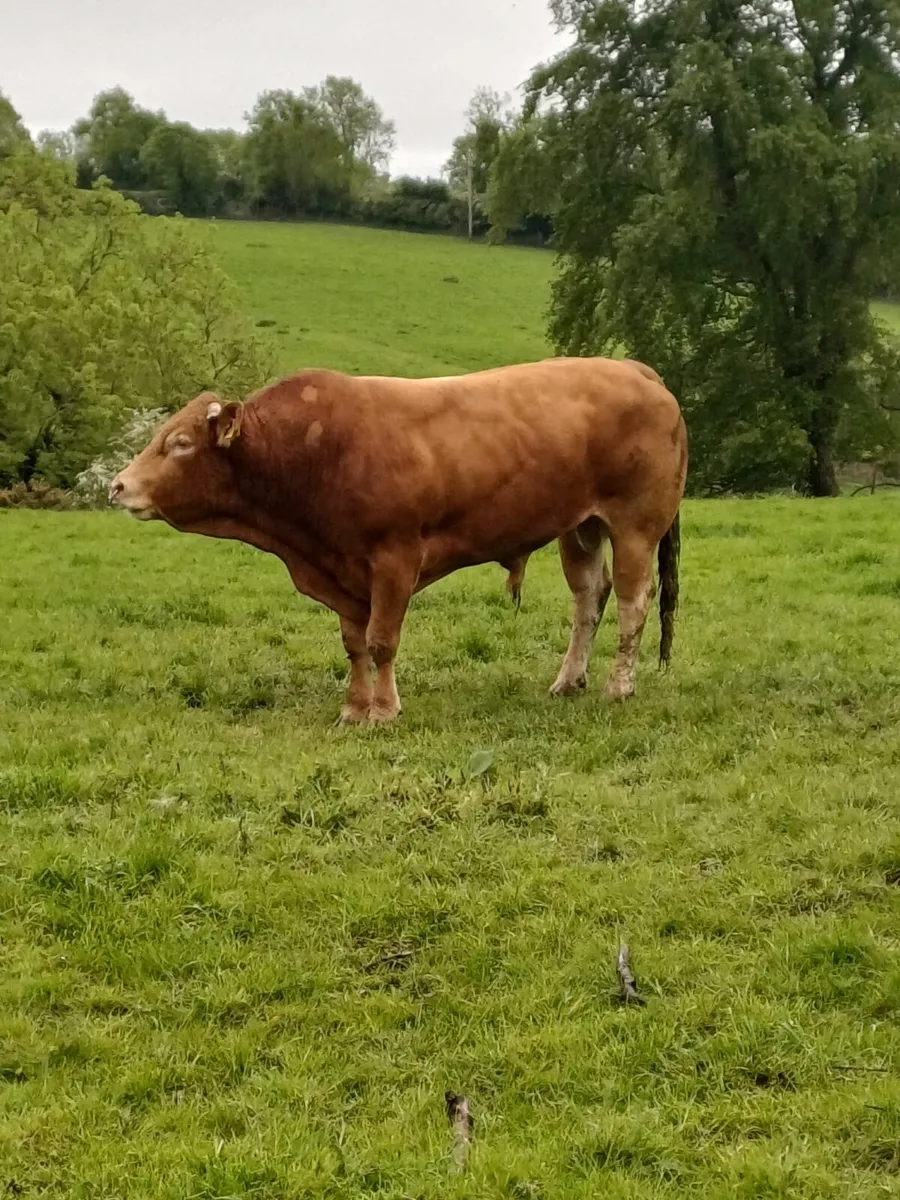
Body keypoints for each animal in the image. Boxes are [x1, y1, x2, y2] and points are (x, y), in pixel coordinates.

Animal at [109, 356, 687, 724]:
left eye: (180, 444)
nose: (118, 485)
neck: (313, 453)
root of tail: (634, 369)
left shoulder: (394, 558)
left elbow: (381, 641)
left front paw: (383, 711)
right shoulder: (341, 572)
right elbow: (354, 644)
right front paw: (353, 707)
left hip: (635, 527)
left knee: (634, 604)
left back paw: (618, 686)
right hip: (581, 529)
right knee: (589, 598)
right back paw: (569, 680)